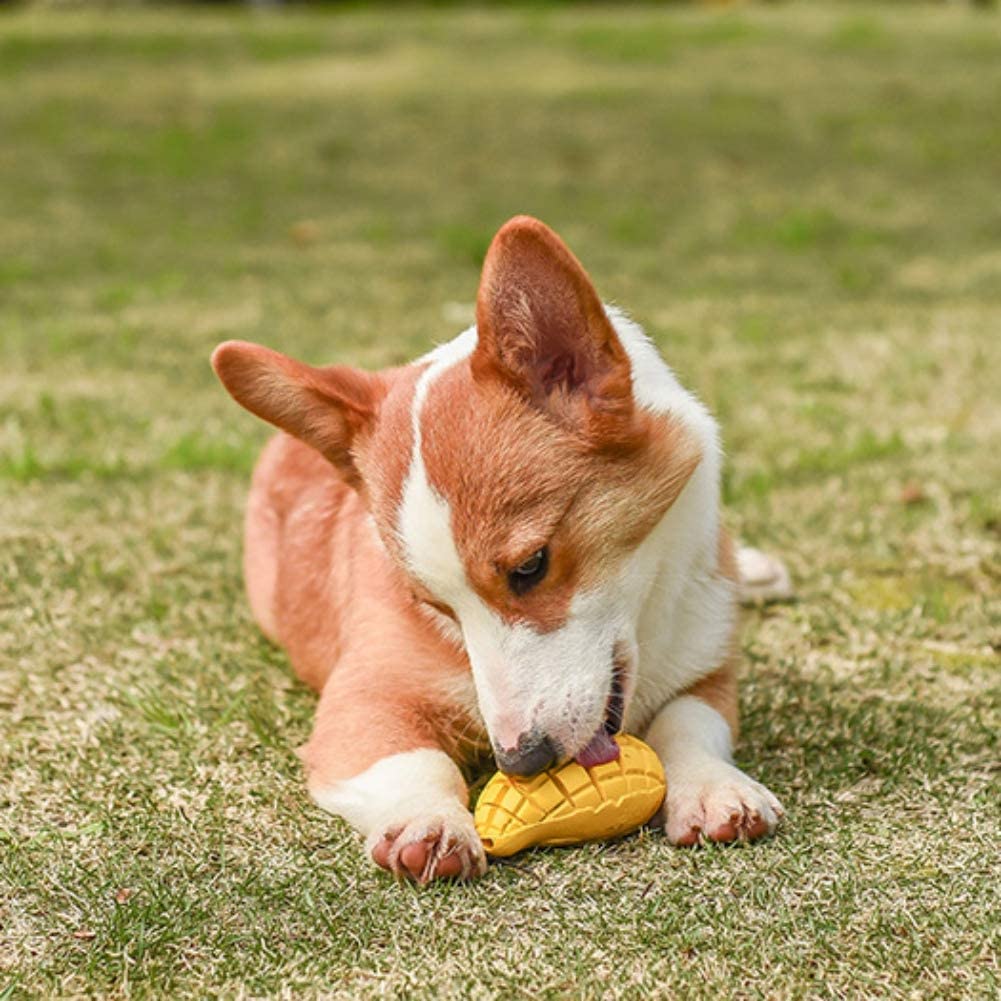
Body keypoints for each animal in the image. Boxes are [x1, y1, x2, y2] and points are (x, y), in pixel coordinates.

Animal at [211, 216, 785, 883]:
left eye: (530, 566)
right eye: (432, 604)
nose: (522, 761)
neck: (648, 619)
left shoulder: (708, 671)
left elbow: (689, 725)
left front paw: (717, 789)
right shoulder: (363, 700)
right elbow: (417, 764)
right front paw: (428, 823)